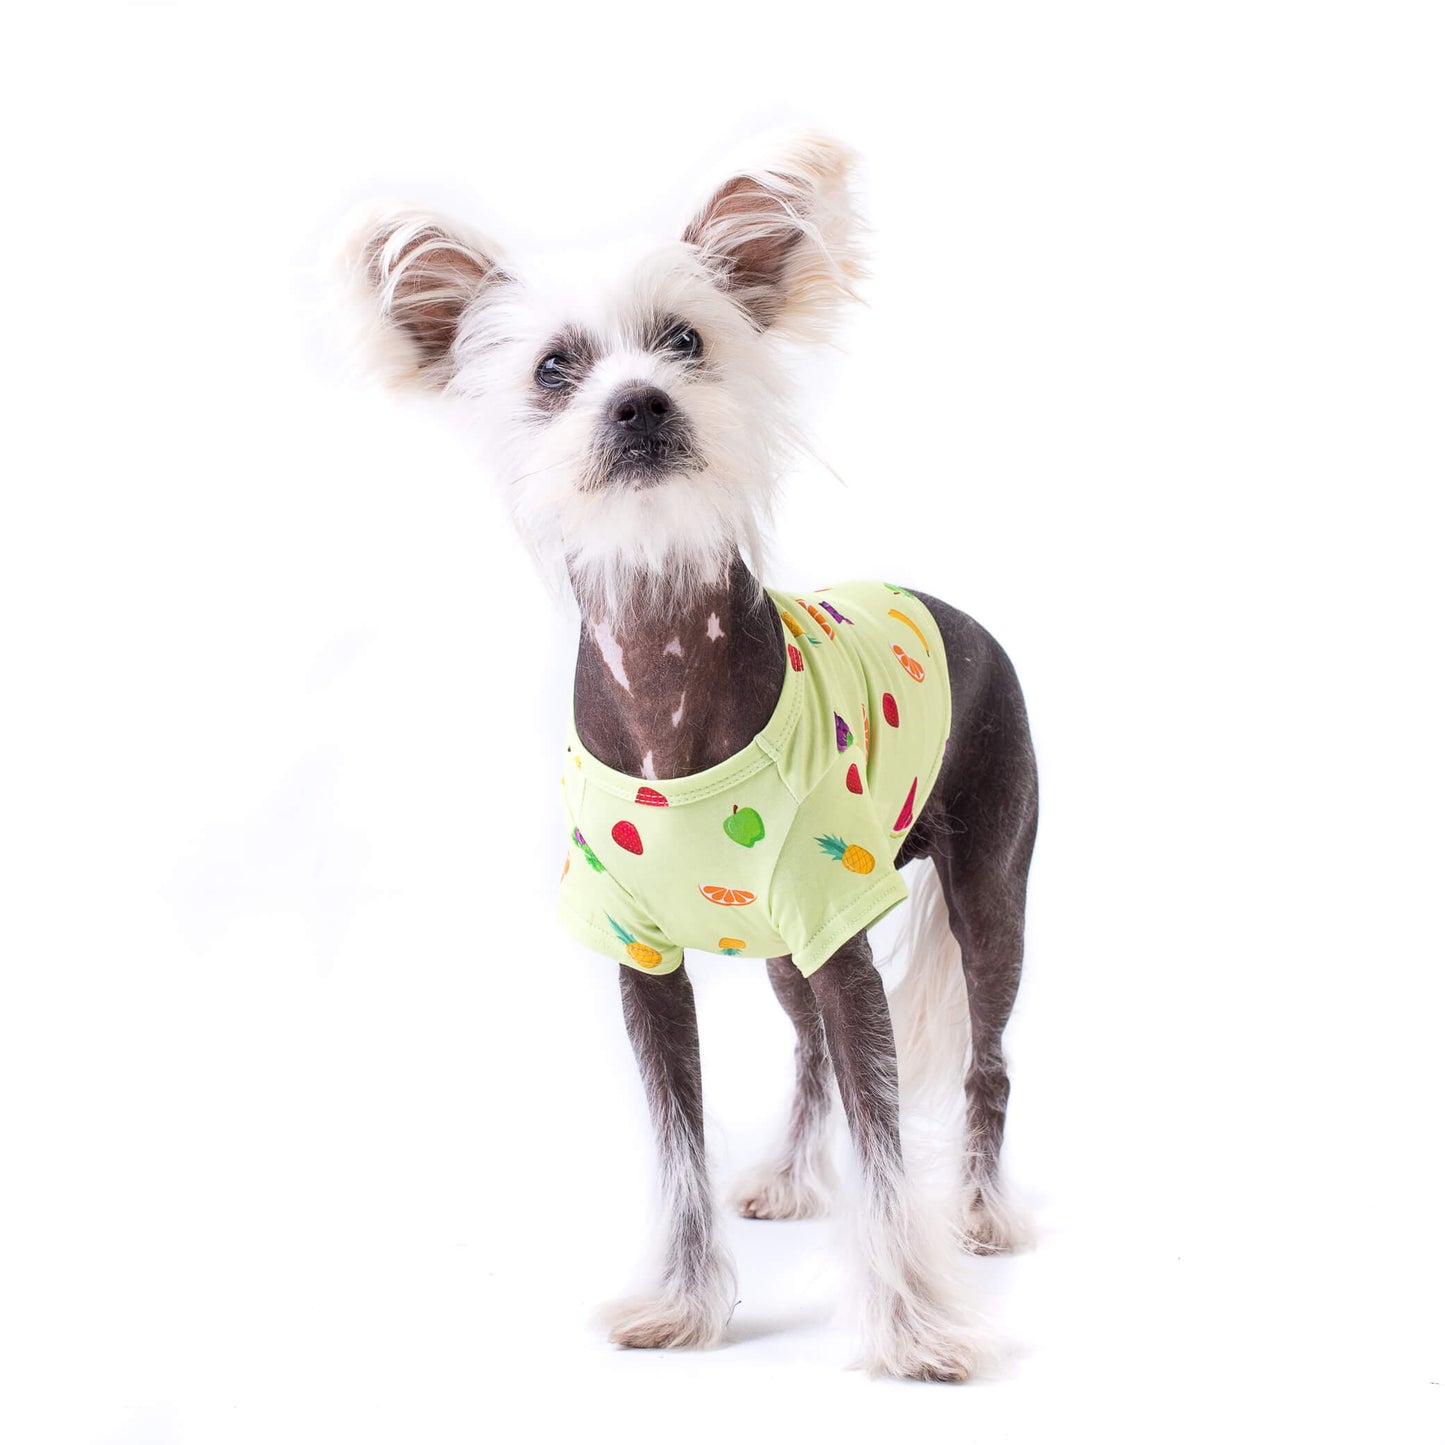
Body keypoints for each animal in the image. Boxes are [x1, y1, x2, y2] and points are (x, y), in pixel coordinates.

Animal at [338, 137, 1040, 1387]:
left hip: (987, 893)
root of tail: (945, 603)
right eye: (554, 367)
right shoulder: (643, 959)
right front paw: (682, 1301)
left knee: (986, 1057)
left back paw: (978, 1209)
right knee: (807, 1051)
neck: (666, 682)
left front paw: (912, 1324)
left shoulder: (841, 937)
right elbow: (679, 1143)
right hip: (783, 951)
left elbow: (881, 1139)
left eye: (685, 342)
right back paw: (790, 1177)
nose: (637, 402)